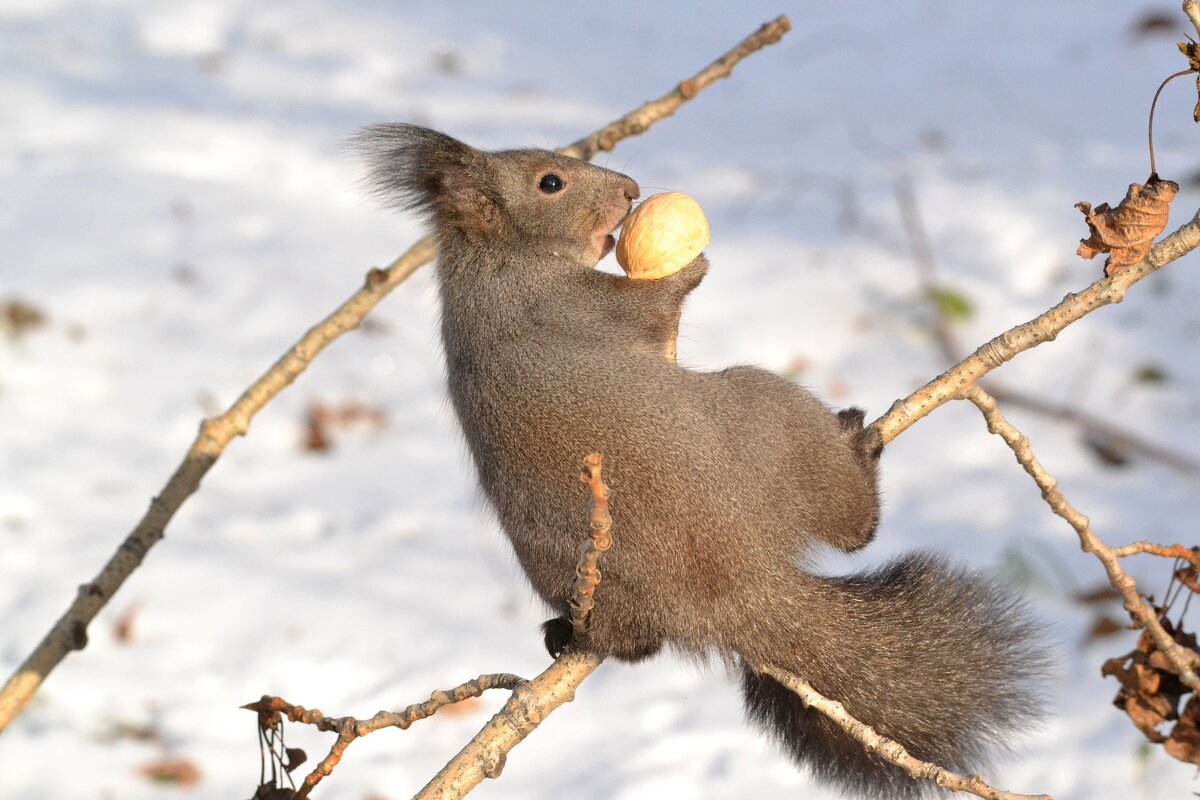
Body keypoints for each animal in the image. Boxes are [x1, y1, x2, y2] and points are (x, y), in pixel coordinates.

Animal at [352, 125, 1041, 800]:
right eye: (550, 182)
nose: (631, 189)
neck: (498, 263)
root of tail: (739, 590)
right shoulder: (579, 303)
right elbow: (652, 304)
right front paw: (691, 264)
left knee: (630, 644)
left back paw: (566, 634)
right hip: (772, 419)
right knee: (853, 528)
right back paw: (859, 445)